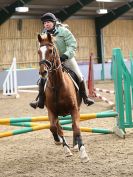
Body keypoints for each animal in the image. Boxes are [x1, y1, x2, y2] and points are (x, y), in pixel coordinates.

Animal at [38, 32, 89, 162]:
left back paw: (75, 146)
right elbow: (54, 127)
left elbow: (76, 128)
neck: (57, 85)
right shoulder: (52, 111)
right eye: (38, 51)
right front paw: (61, 143)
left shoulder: (74, 109)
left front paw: (83, 153)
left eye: (51, 51)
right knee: (58, 127)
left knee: (73, 126)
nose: (43, 72)